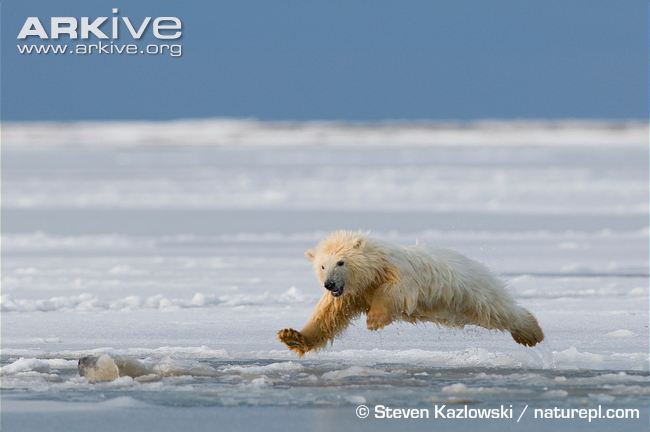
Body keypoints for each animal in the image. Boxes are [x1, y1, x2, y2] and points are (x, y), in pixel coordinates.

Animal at [277, 230, 544, 356]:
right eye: (322, 266)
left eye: (340, 262)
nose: (329, 284)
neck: (374, 270)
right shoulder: (352, 294)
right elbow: (327, 317)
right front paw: (291, 336)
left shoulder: (397, 272)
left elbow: (396, 292)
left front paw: (374, 319)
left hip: (472, 290)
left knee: (497, 309)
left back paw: (531, 333)